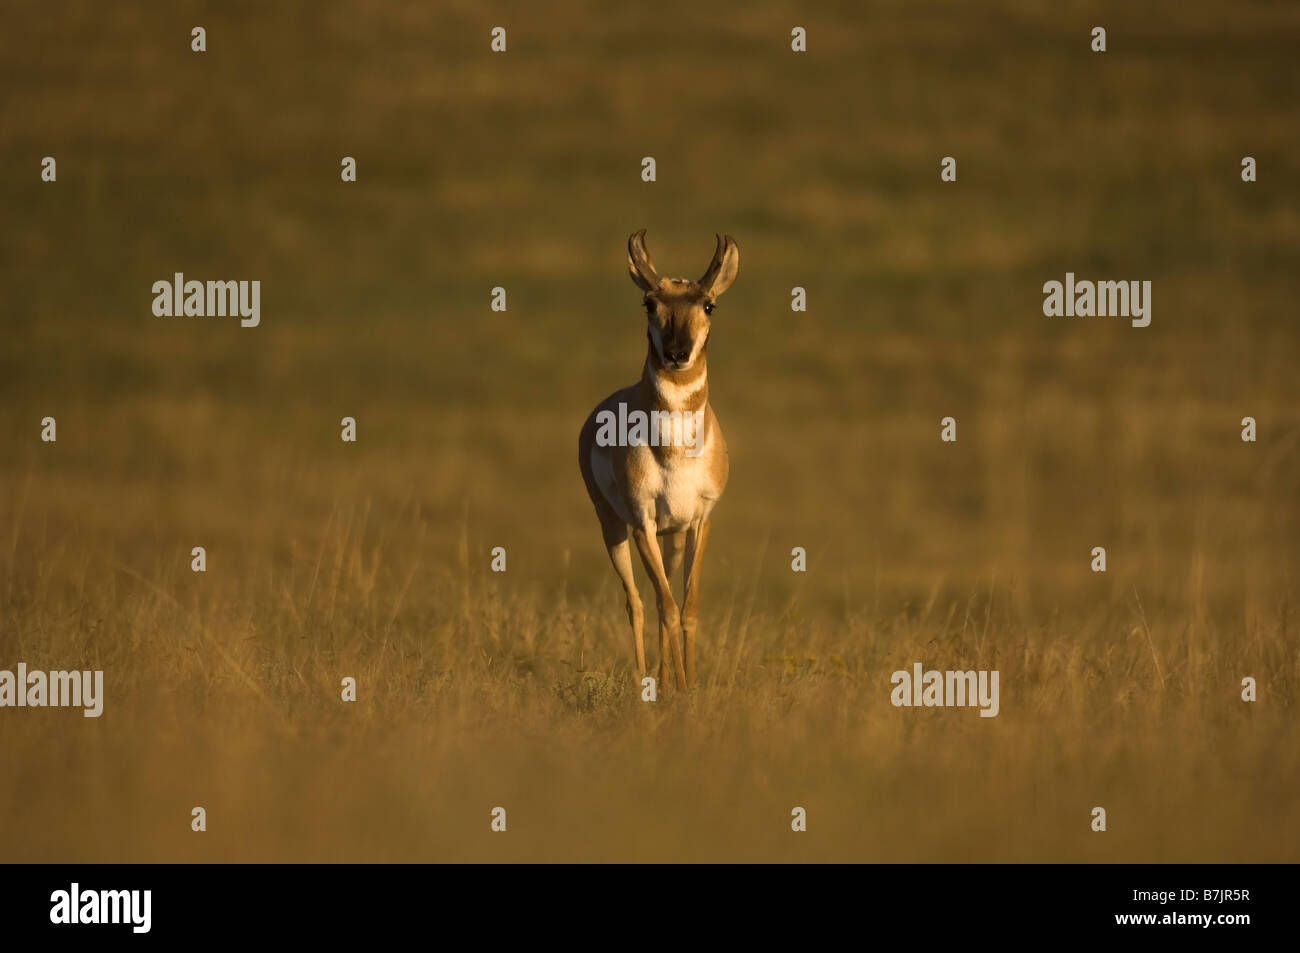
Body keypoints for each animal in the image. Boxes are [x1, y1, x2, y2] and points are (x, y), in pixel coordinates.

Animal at [579, 232, 743, 686]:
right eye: (649, 303)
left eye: (709, 304)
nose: (676, 354)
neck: (675, 455)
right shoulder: (643, 525)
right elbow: (667, 608)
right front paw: (680, 688)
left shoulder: (700, 522)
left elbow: (687, 610)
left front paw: (690, 685)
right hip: (612, 526)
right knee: (636, 601)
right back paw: (645, 678)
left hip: (673, 536)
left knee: (655, 598)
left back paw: (665, 677)